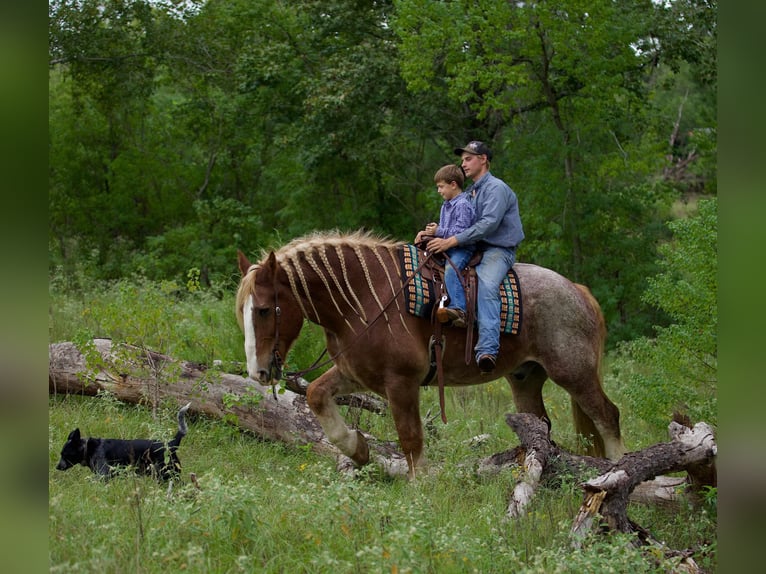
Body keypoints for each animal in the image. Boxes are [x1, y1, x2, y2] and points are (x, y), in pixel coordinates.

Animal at [56, 404, 194, 482]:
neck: (89, 448)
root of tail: (171, 444)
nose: (57, 467)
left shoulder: (103, 474)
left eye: (65, 454)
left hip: (164, 474)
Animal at [237, 228, 628, 476]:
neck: (363, 299)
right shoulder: (356, 374)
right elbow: (317, 395)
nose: (258, 372)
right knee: (541, 428)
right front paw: (357, 448)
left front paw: (421, 486)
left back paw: (618, 473)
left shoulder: (401, 382)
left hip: (573, 372)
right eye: (242, 311)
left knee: (608, 416)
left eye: (264, 310)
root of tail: (577, 289)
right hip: (525, 378)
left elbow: (410, 439)